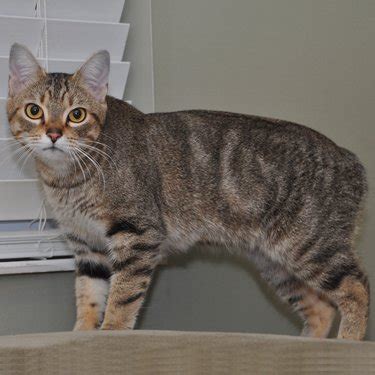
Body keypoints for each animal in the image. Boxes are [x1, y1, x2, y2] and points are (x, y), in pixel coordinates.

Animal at [6, 43, 370, 340]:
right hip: (276, 263)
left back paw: (348, 343)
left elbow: (122, 296)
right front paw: (81, 337)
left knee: (357, 289)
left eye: (77, 115)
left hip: (311, 245)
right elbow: (88, 297)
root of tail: (351, 161)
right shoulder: (86, 246)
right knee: (321, 308)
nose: (54, 134)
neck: (68, 181)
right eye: (34, 110)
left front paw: (111, 333)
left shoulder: (138, 234)